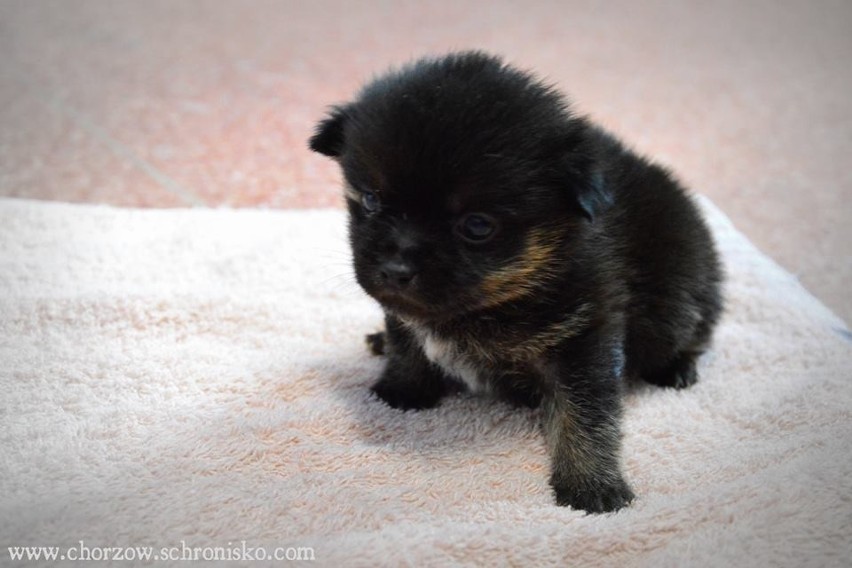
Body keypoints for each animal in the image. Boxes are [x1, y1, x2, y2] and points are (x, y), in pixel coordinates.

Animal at [310, 52, 724, 516]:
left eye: (477, 225)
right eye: (370, 200)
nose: (396, 268)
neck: (497, 300)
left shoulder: (584, 336)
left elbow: (585, 414)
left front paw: (592, 486)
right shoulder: (405, 313)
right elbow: (407, 343)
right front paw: (400, 390)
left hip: (683, 300)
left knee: (695, 330)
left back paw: (678, 368)